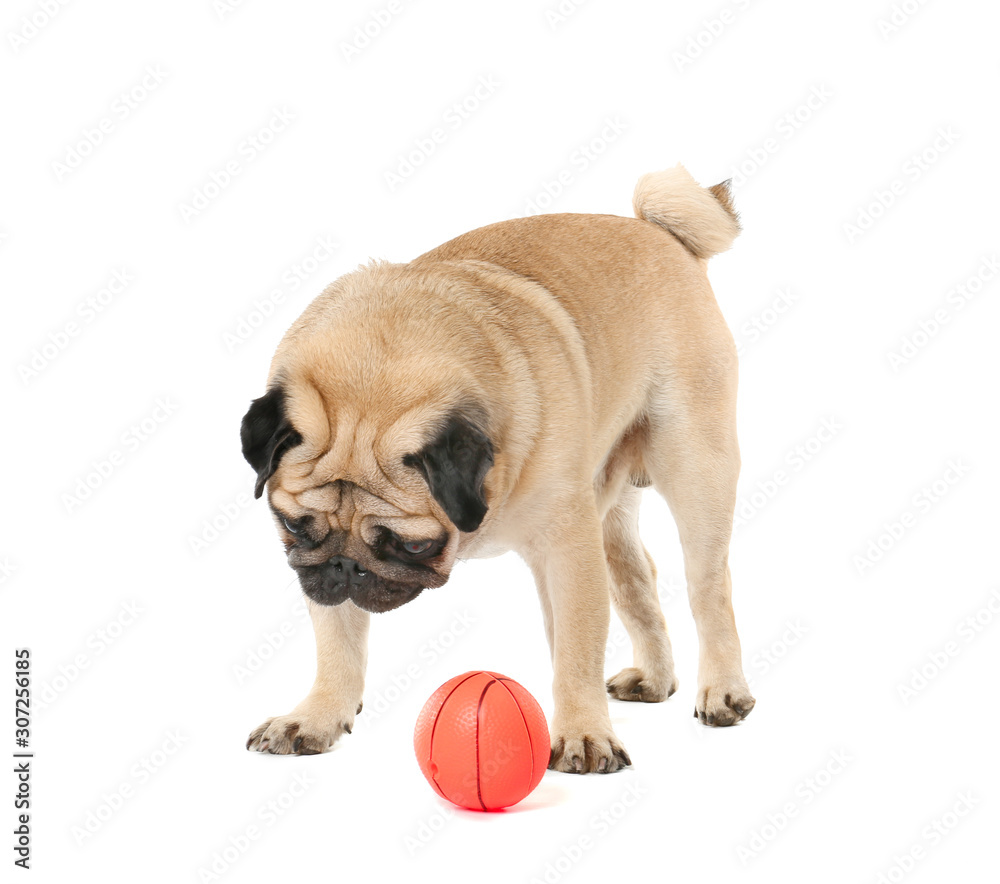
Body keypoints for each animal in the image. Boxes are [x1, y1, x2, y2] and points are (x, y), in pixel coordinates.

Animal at [244, 162, 756, 772]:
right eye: (294, 526)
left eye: (413, 545)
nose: (347, 568)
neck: (376, 371)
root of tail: (660, 234)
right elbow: (338, 646)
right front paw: (318, 715)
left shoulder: (567, 551)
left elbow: (577, 651)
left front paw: (583, 733)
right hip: (607, 506)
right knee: (636, 580)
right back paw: (654, 680)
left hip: (695, 470)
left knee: (709, 586)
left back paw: (723, 691)